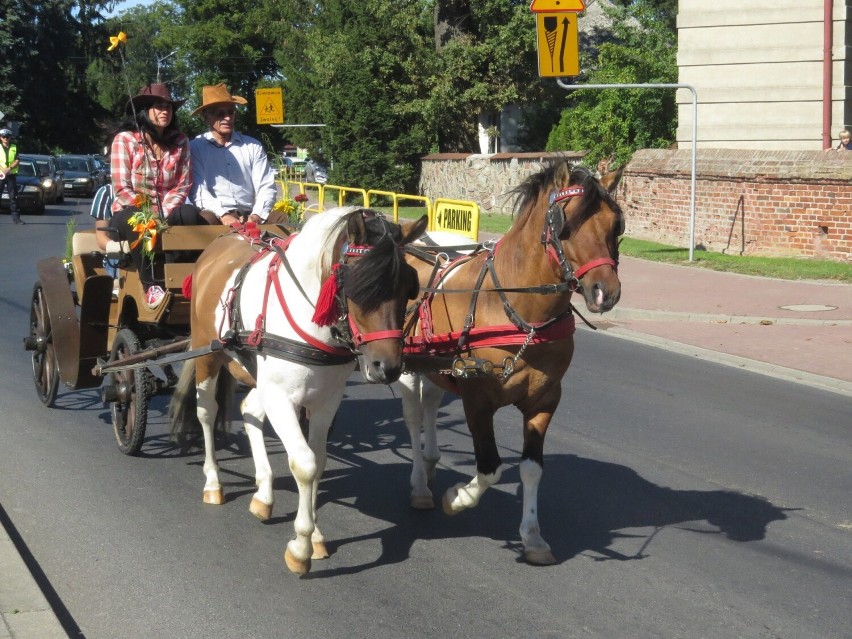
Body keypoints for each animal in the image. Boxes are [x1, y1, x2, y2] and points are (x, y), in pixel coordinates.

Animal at [171, 208, 430, 576]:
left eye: (409, 287)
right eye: (358, 286)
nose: (388, 367)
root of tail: (225, 239)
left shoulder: (325, 402)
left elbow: (318, 462)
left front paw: (314, 535)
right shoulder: (281, 398)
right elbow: (304, 464)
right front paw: (302, 546)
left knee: (250, 409)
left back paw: (264, 493)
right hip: (207, 353)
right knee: (206, 413)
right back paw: (214, 482)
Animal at [400, 161, 624, 564]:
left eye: (616, 225)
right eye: (565, 224)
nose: (605, 292)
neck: (520, 312)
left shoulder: (545, 400)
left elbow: (532, 470)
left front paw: (533, 536)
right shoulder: (477, 398)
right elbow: (489, 469)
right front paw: (457, 498)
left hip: (435, 366)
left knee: (431, 404)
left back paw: (431, 459)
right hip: (405, 366)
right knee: (413, 418)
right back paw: (421, 484)